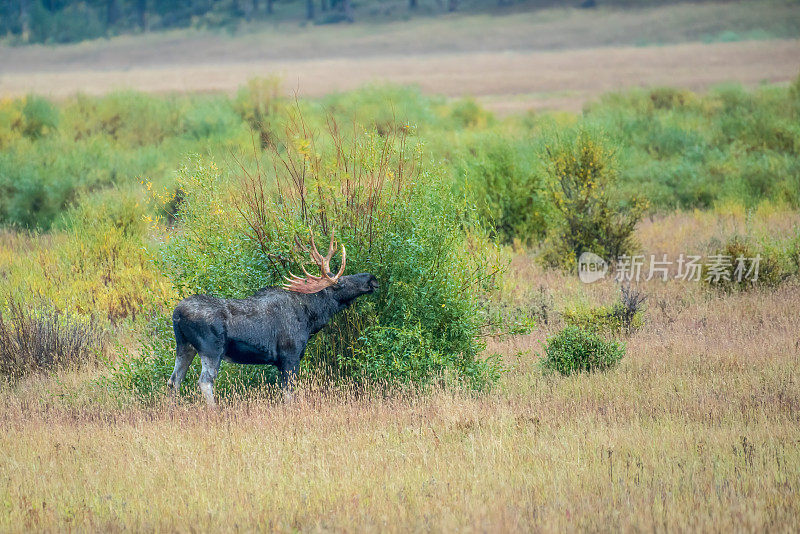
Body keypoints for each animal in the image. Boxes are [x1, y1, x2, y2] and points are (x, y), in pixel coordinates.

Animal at [168, 231, 378, 406]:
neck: (311, 317)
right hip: (211, 350)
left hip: (185, 346)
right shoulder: (289, 356)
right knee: (204, 382)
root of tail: (177, 314)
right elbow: (288, 394)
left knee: (174, 381)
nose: (372, 278)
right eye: (340, 282)